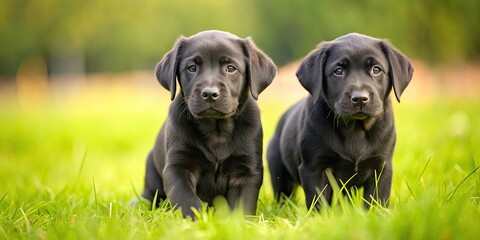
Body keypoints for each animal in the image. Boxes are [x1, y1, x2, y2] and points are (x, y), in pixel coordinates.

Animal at [142, 29, 274, 218]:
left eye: (231, 68)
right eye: (192, 68)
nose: (210, 94)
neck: (216, 130)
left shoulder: (246, 171)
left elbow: (242, 206)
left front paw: (239, 222)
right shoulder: (178, 167)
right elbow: (186, 199)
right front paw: (195, 220)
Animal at [266, 33, 412, 210]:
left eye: (376, 69)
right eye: (338, 71)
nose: (360, 98)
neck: (354, 129)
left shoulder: (382, 167)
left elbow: (376, 200)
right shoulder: (314, 167)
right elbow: (318, 202)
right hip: (279, 171)